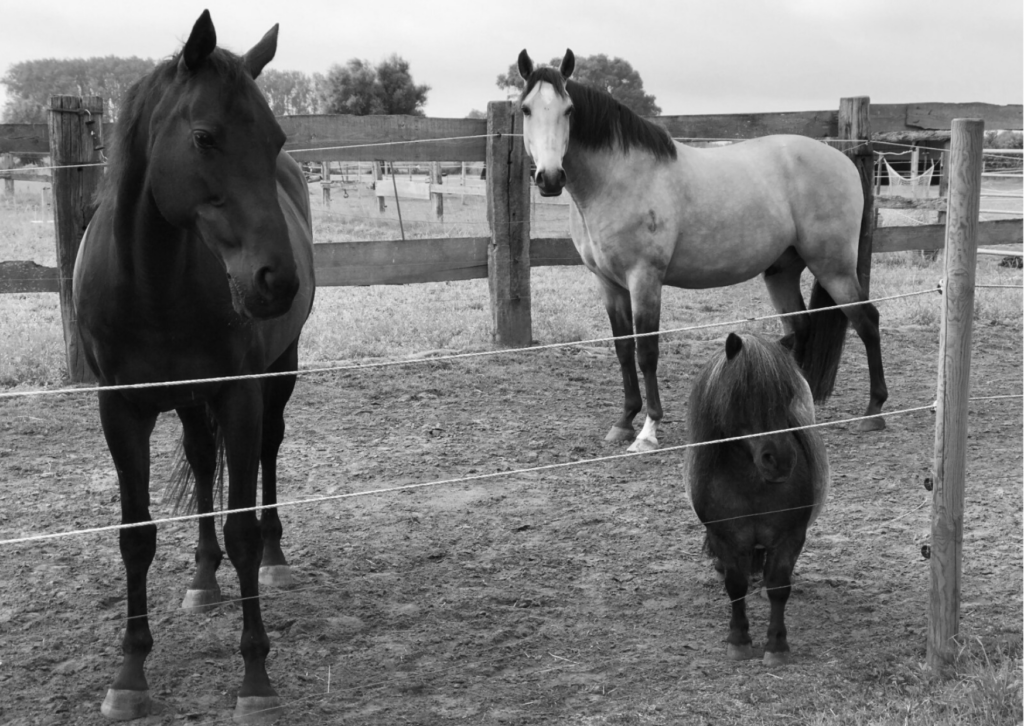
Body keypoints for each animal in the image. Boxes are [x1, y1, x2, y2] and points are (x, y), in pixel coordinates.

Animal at [72, 11, 314, 722]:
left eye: (274, 136)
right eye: (205, 137)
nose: (276, 281)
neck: (151, 283)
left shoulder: (239, 394)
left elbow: (241, 529)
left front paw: (255, 679)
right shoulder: (120, 408)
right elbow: (136, 535)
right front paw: (129, 675)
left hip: (277, 377)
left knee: (266, 454)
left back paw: (275, 558)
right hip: (185, 399)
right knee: (205, 462)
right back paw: (204, 579)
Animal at [516, 49, 888, 453]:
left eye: (568, 110)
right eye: (525, 109)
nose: (550, 178)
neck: (619, 178)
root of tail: (845, 160)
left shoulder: (644, 279)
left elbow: (647, 351)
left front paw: (648, 430)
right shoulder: (609, 284)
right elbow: (623, 350)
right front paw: (624, 421)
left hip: (833, 266)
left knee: (867, 322)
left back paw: (874, 412)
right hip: (783, 271)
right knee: (802, 327)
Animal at [686, 332, 830, 665]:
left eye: (787, 395)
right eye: (742, 395)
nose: (780, 460)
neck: (752, 487)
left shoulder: (790, 536)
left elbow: (779, 586)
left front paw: (776, 646)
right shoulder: (725, 538)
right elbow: (736, 586)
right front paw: (738, 641)